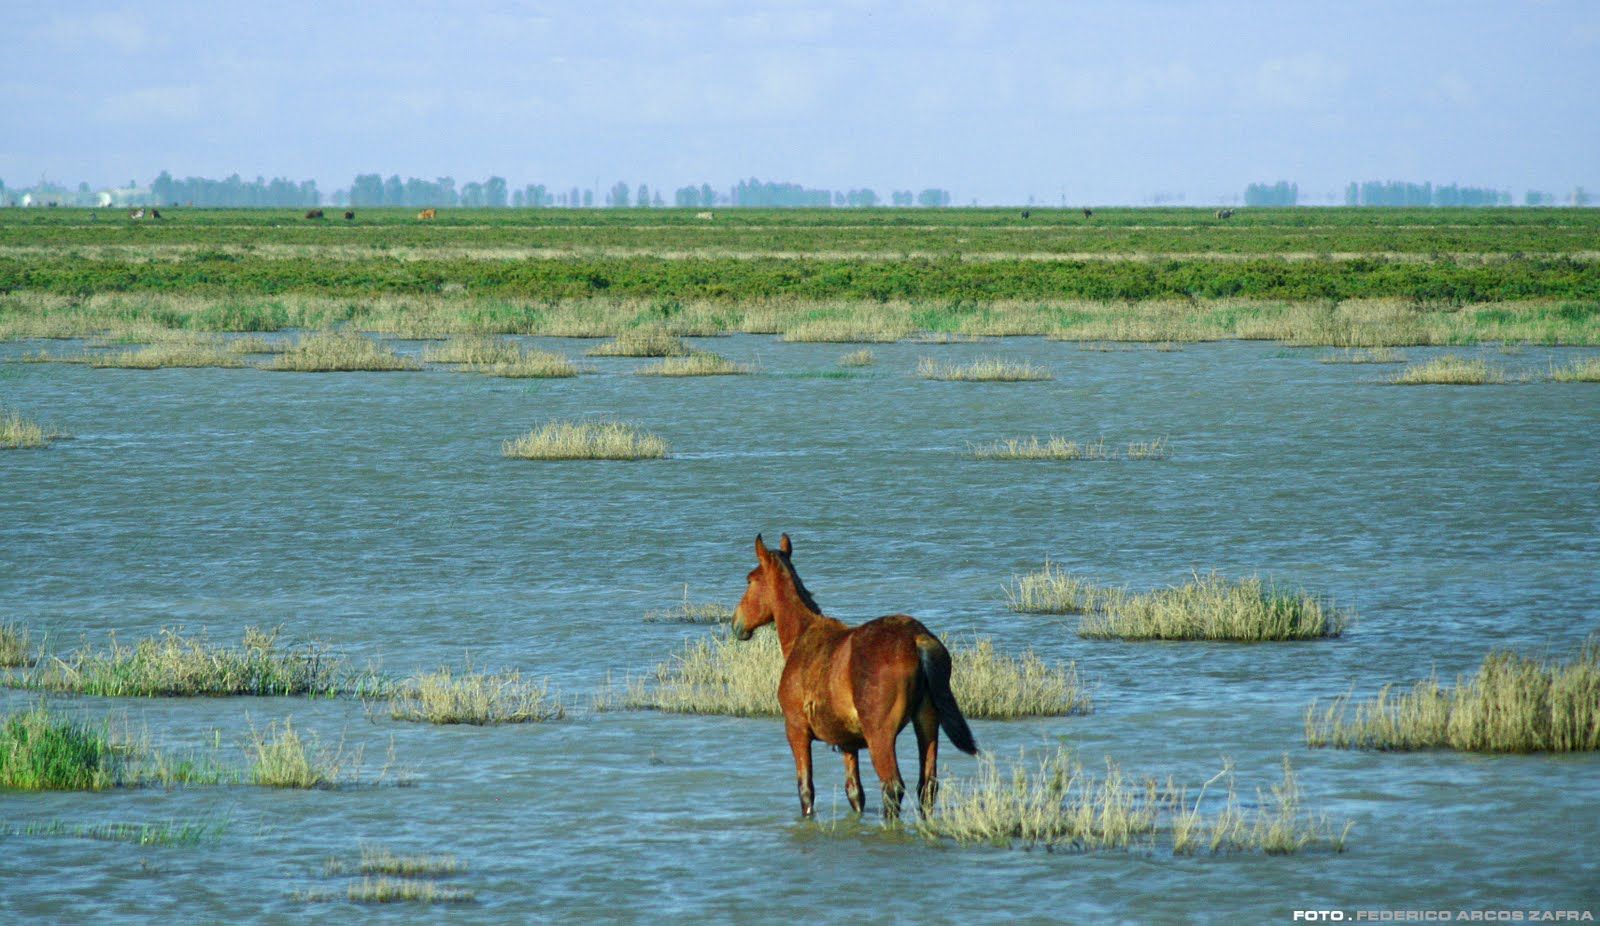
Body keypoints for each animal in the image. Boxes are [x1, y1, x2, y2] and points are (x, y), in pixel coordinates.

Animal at [732, 537, 979, 818]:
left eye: (750, 580)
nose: (736, 622)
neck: (803, 637)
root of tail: (917, 638)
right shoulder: (848, 743)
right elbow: (855, 792)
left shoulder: (796, 730)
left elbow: (806, 790)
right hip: (927, 723)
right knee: (926, 787)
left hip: (880, 736)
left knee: (892, 787)